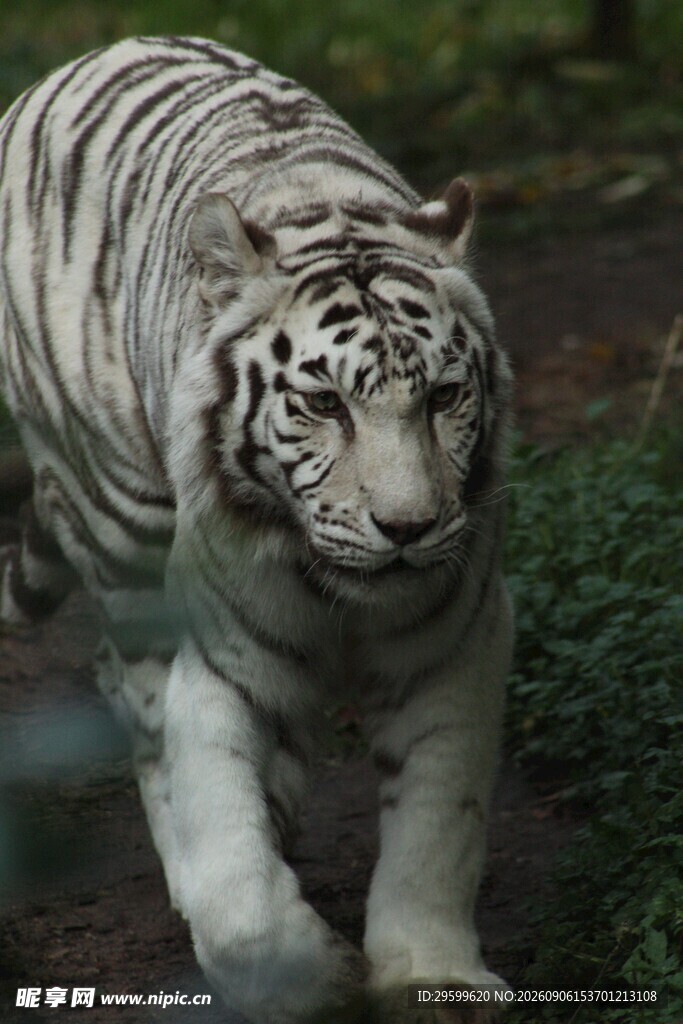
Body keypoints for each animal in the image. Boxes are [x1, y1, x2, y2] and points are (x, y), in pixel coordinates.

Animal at [0, 36, 514, 1024]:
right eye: (324, 404)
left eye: (442, 396)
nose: (406, 525)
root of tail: (86, 57)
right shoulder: (227, 660)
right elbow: (235, 886)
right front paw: (306, 978)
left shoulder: (453, 645)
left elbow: (439, 825)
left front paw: (431, 977)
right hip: (119, 523)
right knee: (137, 691)